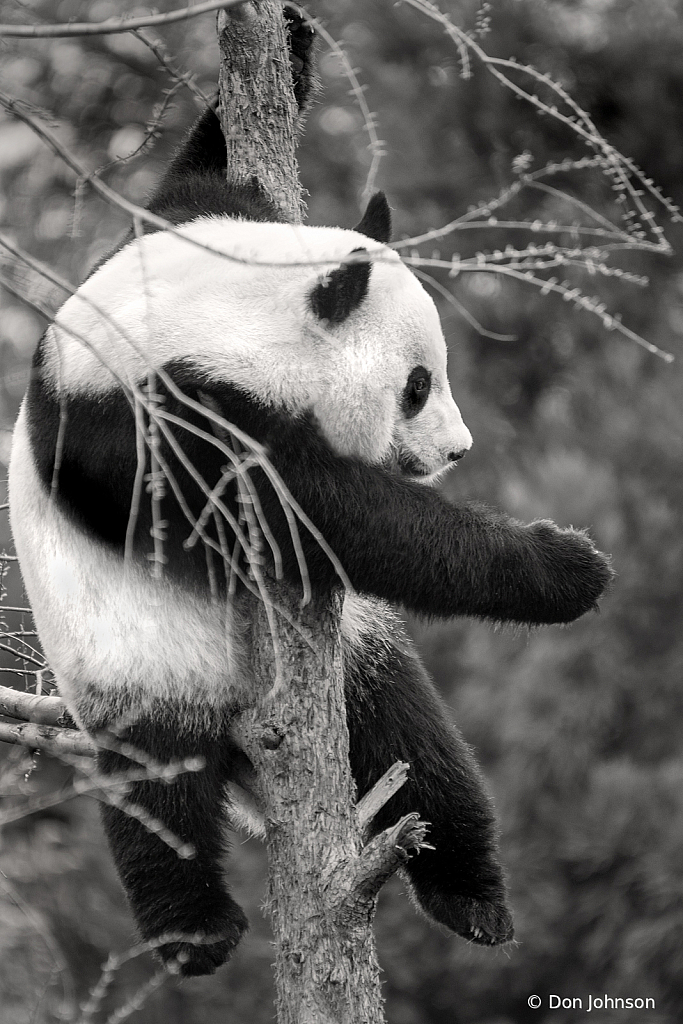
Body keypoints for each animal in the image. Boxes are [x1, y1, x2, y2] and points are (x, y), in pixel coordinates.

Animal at [6, 9, 614, 983]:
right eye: (415, 386)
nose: (456, 450)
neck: (205, 313)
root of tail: (248, 762)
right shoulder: (137, 426)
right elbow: (317, 513)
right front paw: (564, 565)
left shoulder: (187, 226)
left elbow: (203, 161)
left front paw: (283, 33)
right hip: (128, 655)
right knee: (157, 786)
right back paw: (196, 933)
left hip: (361, 656)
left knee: (414, 742)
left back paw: (471, 897)